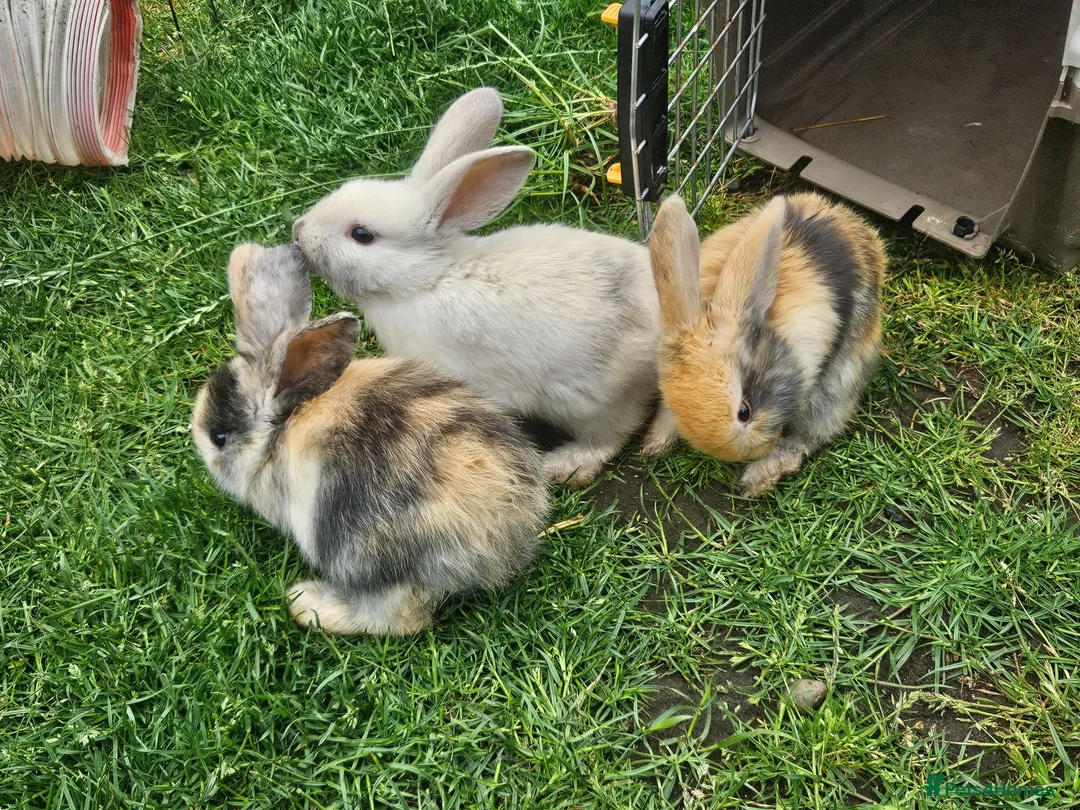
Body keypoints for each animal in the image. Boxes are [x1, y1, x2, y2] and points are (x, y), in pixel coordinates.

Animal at [191, 242, 549, 636]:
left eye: (219, 437)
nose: (199, 445)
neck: (283, 427)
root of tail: (503, 534)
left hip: (364, 553)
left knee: (403, 616)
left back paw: (308, 603)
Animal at [291, 87, 678, 487]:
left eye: (362, 235)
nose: (299, 231)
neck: (426, 279)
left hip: (592, 399)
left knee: (615, 432)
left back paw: (568, 464)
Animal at [649, 191, 886, 496]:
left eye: (744, 411)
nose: (756, 450)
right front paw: (653, 443)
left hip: (838, 388)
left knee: (808, 438)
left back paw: (757, 479)